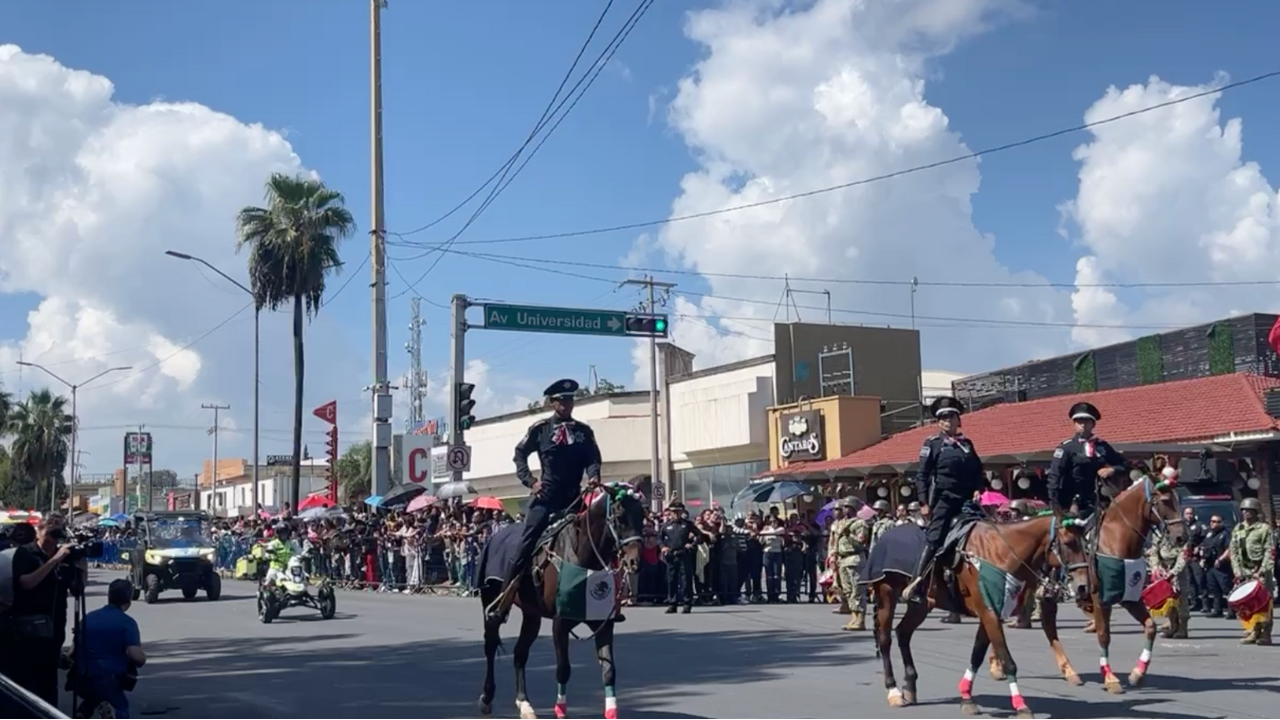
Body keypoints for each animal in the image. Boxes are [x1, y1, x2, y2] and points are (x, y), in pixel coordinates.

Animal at [476, 481, 645, 717]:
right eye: (620, 517)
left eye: (642, 515)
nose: (634, 562)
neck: (582, 556)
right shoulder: (560, 624)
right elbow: (563, 669)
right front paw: (560, 710)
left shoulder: (602, 624)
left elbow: (609, 670)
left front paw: (611, 712)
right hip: (492, 604)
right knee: (491, 644)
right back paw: (487, 697)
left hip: (532, 615)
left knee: (520, 653)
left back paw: (524, 704)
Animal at [870, 512, 1090, 712]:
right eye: (1069, 543)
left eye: (1086, 544)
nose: (1083, 587)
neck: (1001, 553)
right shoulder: (989, 613)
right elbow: (1008, 662)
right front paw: (1020, 706)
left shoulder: (991, 613)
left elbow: (977, 654)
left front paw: (967, 697)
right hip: (887, 596)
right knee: (885, 639)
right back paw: (893, 690)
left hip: (922, 605)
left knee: (903, 633)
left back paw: (910, 685)